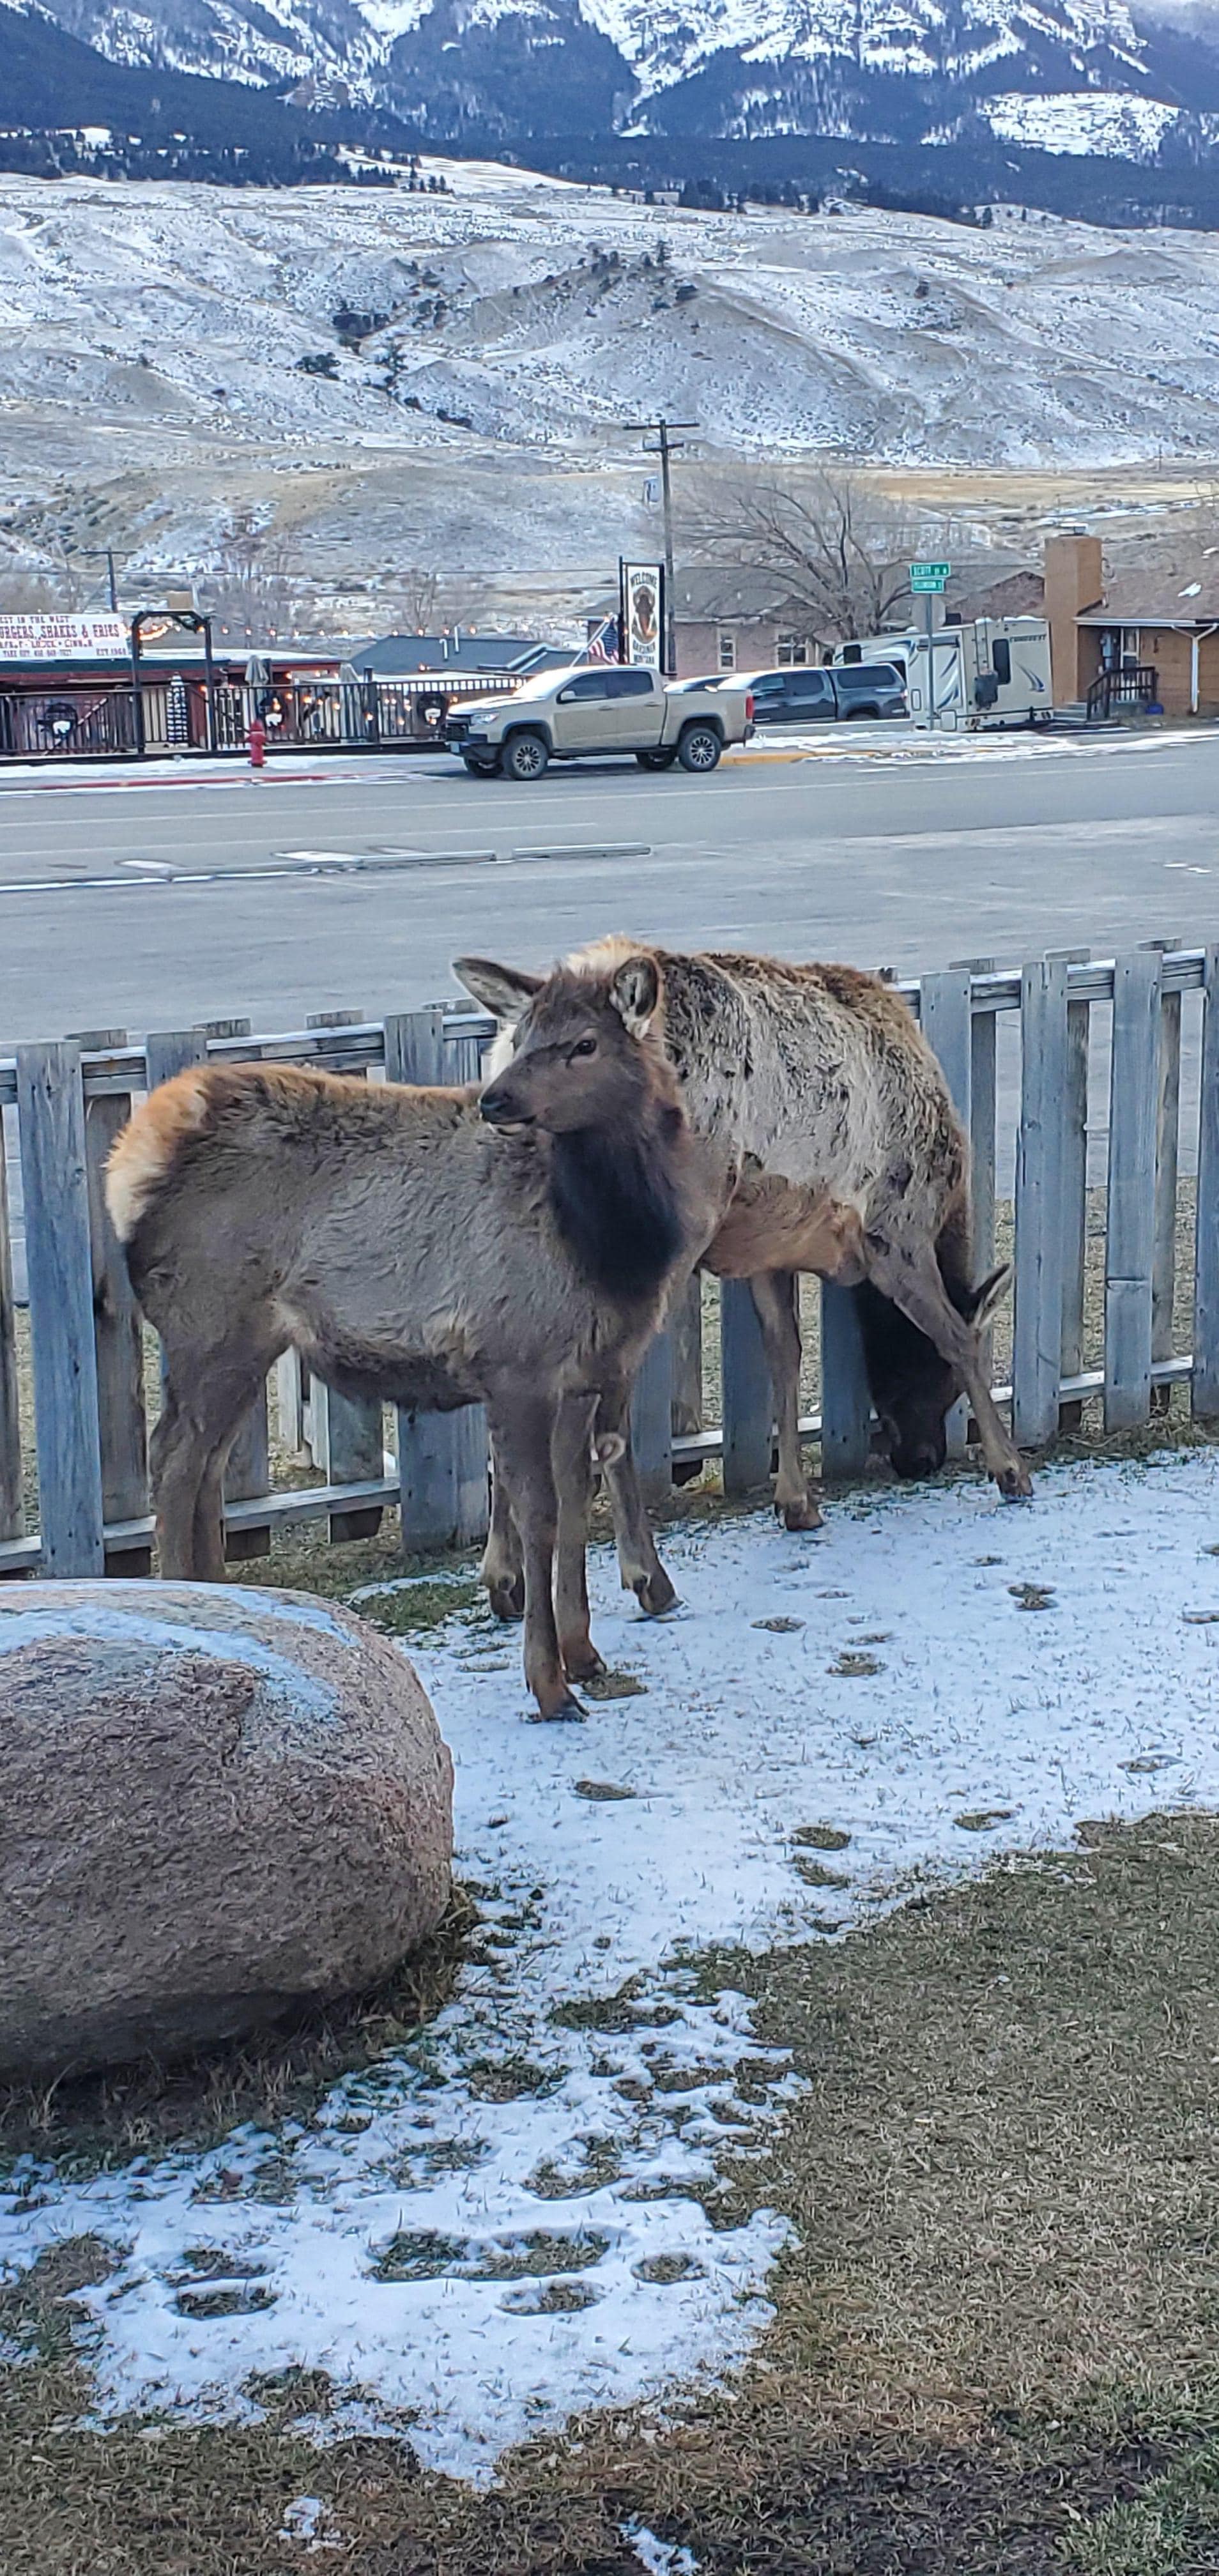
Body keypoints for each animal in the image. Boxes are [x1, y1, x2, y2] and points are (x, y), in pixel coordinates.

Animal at [104, 956, 731, 1722]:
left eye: (583, 1043)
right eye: (522, 1035)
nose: (496, 1100)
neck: (611, 1243)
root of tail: (126, 1164)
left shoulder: (585, 1372)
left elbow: (578, 1501)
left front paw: (584, 1653)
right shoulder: (514, 1362)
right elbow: (539, 1514)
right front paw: (549, 1683)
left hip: (244, 1345)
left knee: (207, 1467)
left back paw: (229, 1599)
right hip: (209, 1325)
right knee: (173, 1460)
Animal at [455, 940, 1025, 1601]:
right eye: (938, 1382)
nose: (921, 1460)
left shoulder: (769, 1248)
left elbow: (785, 1352)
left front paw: (797, 1503)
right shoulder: (896, 1229)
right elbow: (955, 1335)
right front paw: (1010, 1469)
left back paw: (504, 1575)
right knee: (607, 1397)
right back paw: (646, 1575)